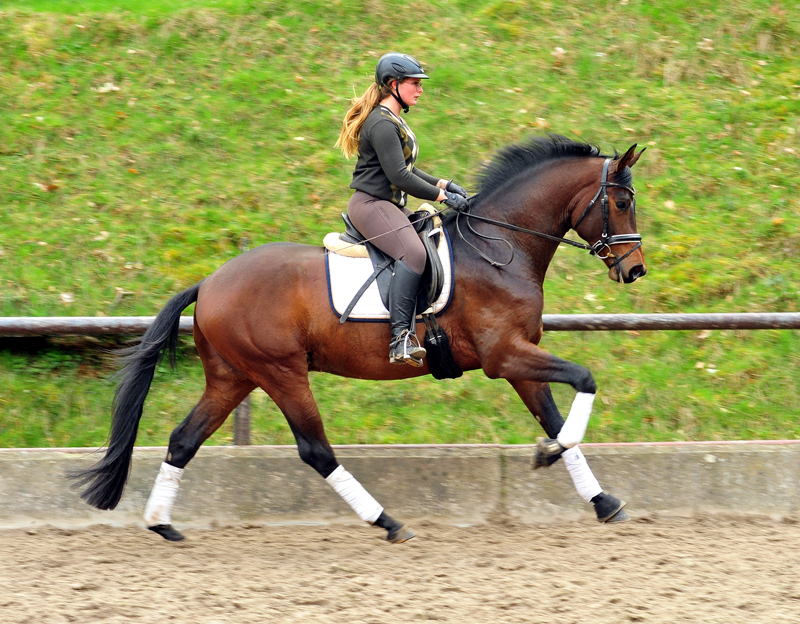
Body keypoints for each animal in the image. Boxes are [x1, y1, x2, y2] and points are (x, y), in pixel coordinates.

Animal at [72, 135, 648, 540]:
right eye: (621, 203)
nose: (635, 269)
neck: (498, 247)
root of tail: (210, 283)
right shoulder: (504, 355)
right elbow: (584, 381)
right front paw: (550, 454)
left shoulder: (519, 358)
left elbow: (554, 414)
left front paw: (600, 499)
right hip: (280, 371)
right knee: (315, 450)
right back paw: (388, 522)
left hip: (233, 377)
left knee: (183, 440)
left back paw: (162, 524)